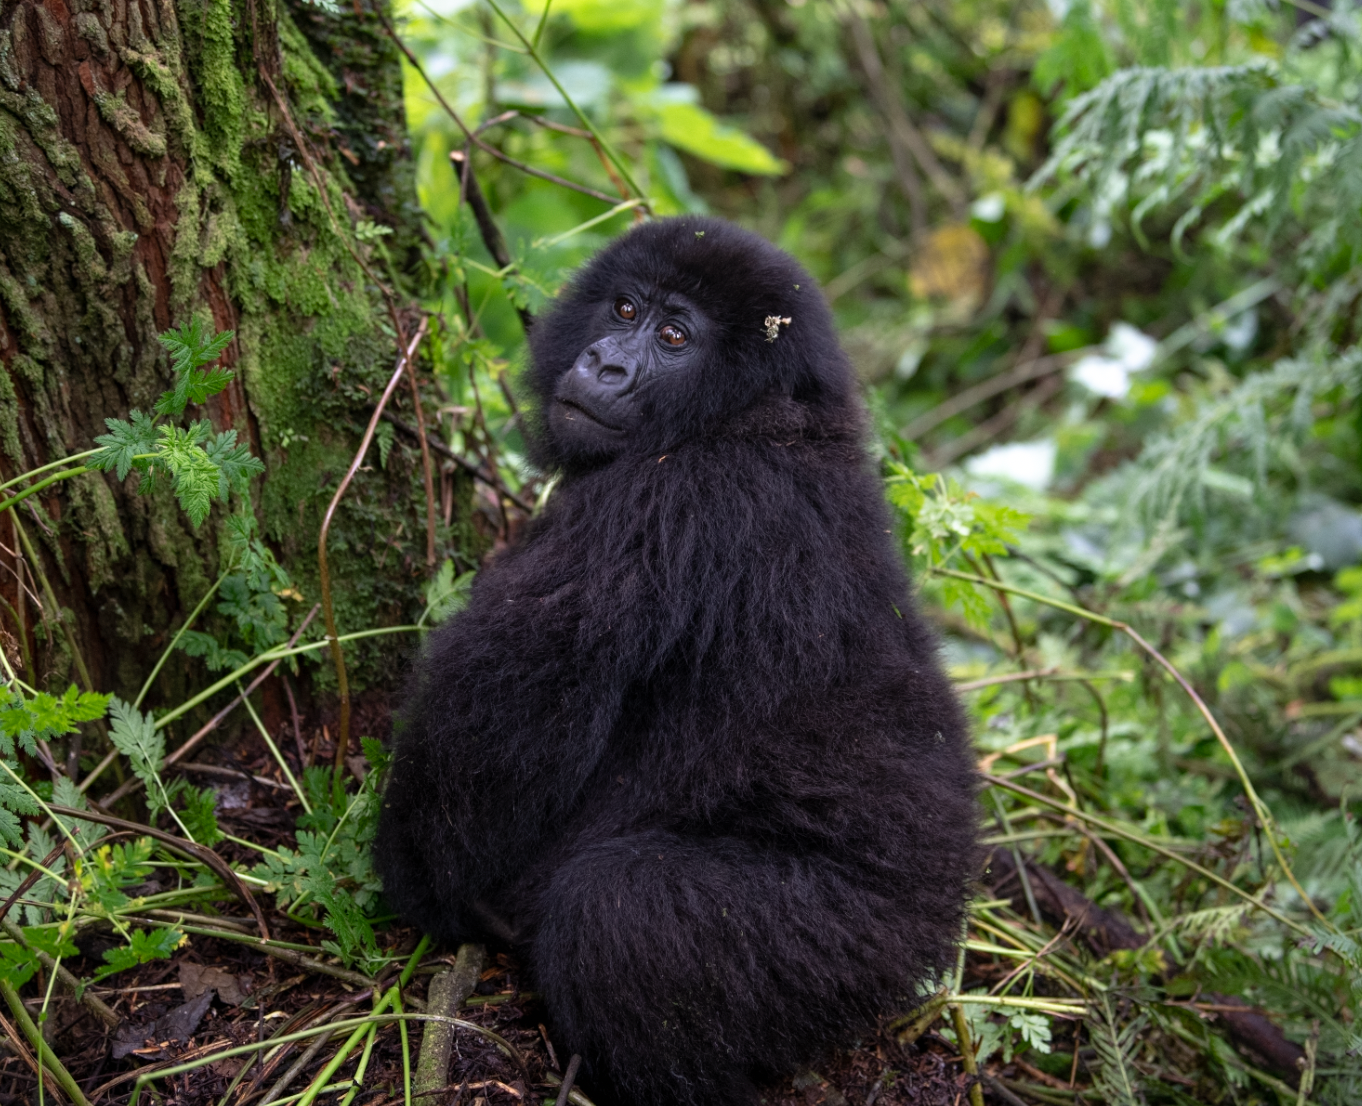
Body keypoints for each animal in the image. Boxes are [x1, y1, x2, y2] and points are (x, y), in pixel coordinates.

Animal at [375, 216, 980, 1106]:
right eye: (623, 308)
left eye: (672, 336)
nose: (605, 364)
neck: (755, 415)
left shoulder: (658, 502)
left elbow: (491, 734)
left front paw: (421, 881)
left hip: (854, 943)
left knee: (616, 911)